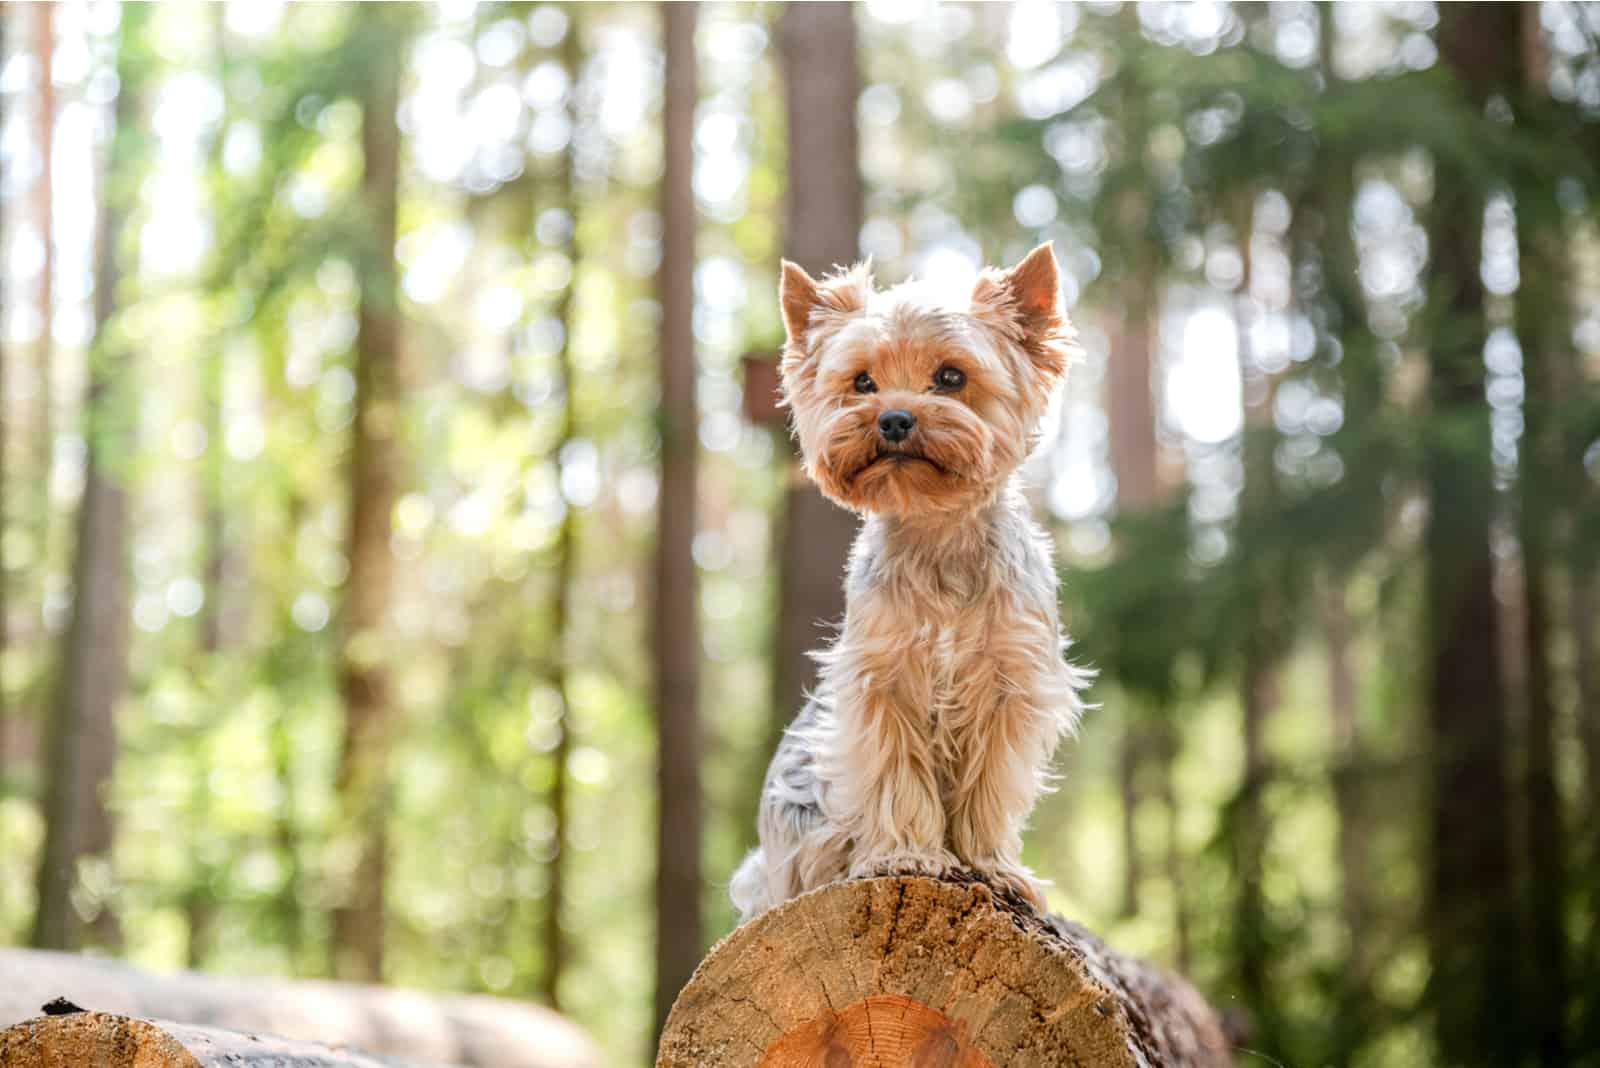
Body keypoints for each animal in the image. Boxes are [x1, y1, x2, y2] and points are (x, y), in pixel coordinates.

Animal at [732, 246, 1088, 920]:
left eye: (950, 377)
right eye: (862, 383)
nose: (894, 419)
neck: (937, 533)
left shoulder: (1009, 684)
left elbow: (988, 788)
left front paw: (991, 866)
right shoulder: (883, 682)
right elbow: (897, 777)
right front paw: (907, 855)